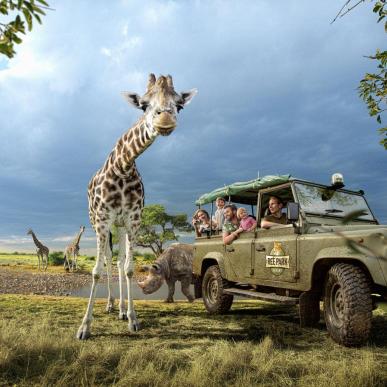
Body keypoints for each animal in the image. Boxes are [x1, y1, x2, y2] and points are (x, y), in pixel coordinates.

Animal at [76, 73, 197, 340]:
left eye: (179, 105)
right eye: (143, 104)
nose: (165, 119)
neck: (123, 166)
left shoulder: (133, 220)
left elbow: (129, 268)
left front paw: (132, 319)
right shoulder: (103, 220)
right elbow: (96, 269)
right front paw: (84, 327)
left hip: (120, 226)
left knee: (120, 262)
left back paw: (121, 309)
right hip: (99, 222)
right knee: (108, 260)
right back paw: (110, 305)